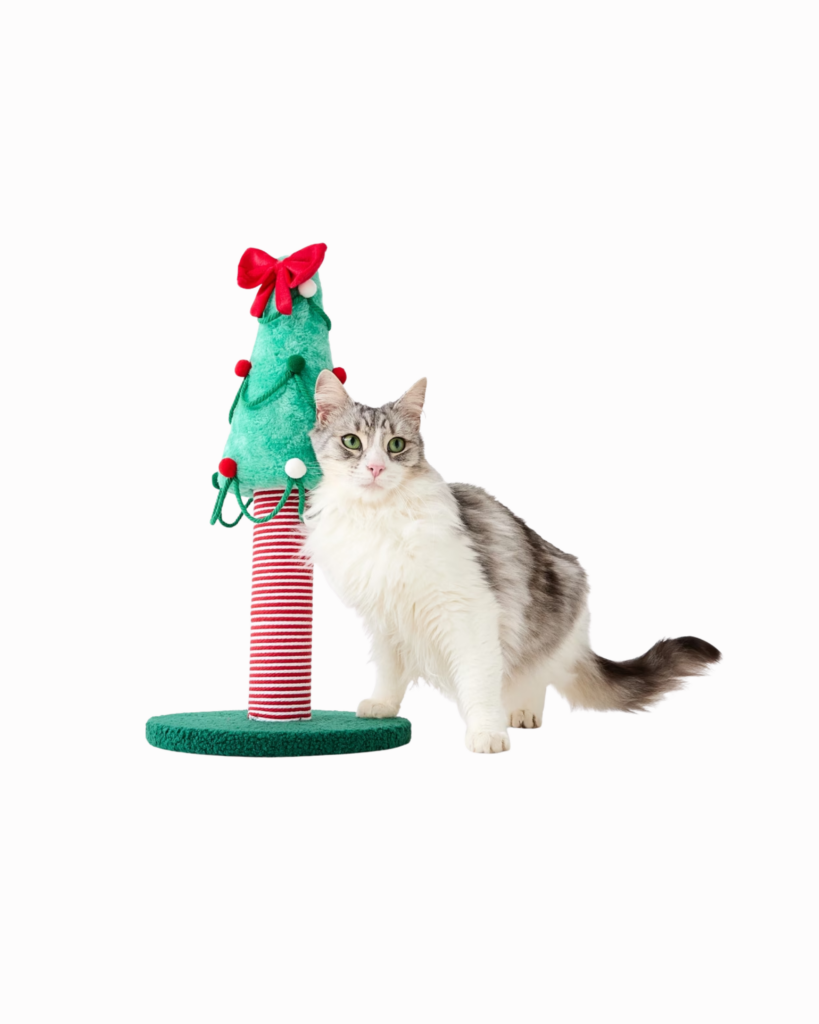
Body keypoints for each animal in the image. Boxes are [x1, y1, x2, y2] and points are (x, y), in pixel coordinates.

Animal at [304, 371, 720, 753]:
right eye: (352, 442)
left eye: (395, 445)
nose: (375, 468)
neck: (377, 516)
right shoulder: (387, 616)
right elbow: (389, 671)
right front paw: (383, 706)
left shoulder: (468, 610)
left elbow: (477, 681)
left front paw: (487, 733)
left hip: (547, 617)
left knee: (534, 674)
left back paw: (521, 713)